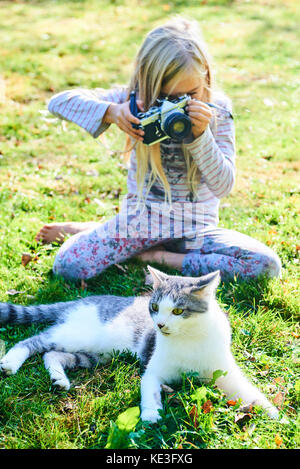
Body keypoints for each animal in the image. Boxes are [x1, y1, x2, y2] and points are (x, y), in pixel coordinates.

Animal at [0, 266, 278, 422]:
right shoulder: (153, 370)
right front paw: (151, 415)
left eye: (178, 311)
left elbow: (249, 391)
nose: (160, 325)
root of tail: (83, 299)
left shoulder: (226, 372)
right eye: (154, 307)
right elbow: (150, 391)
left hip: (97, 355)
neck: (189, 338)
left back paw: (59, 379)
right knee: (32, 341)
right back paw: (10, 363)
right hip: (77, 334)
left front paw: (274, 413)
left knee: (52, 355)